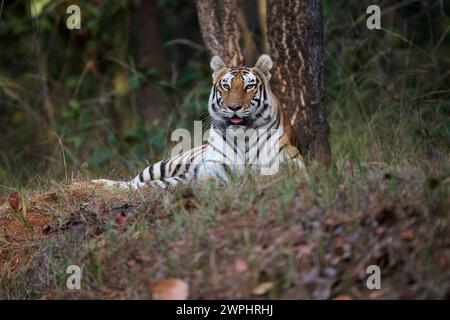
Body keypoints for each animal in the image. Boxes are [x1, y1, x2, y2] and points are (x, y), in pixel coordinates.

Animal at [94, 54, 306, 190]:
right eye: (226, 86)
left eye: (249, 87)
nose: (234, 107)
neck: (243, 137)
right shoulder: (211, 168)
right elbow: (161, 183)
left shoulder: (292, 161)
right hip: (163, 164)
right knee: (135, 180)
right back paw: (98, 184)